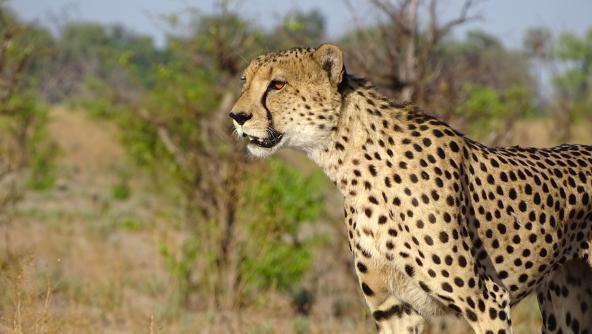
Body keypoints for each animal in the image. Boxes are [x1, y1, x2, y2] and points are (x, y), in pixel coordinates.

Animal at [230, 43, 592, 332]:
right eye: (245, 81)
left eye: (278, 84)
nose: (237, 116)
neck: (352, 164)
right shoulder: (393, 307)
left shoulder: (487, 299)